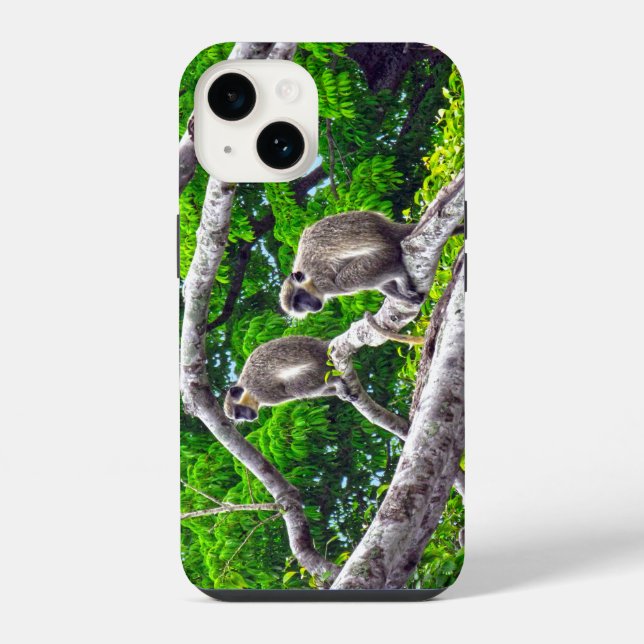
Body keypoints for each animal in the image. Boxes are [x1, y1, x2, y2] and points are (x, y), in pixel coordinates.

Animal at [279, 211, 423, 318]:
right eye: (297, 306)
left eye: (298, 298)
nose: (309, 308)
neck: (307, 275)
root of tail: (389, 229)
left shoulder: (321, 281)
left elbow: (339, 285)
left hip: (384, 255)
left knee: (344, 282)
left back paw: (401, 275)